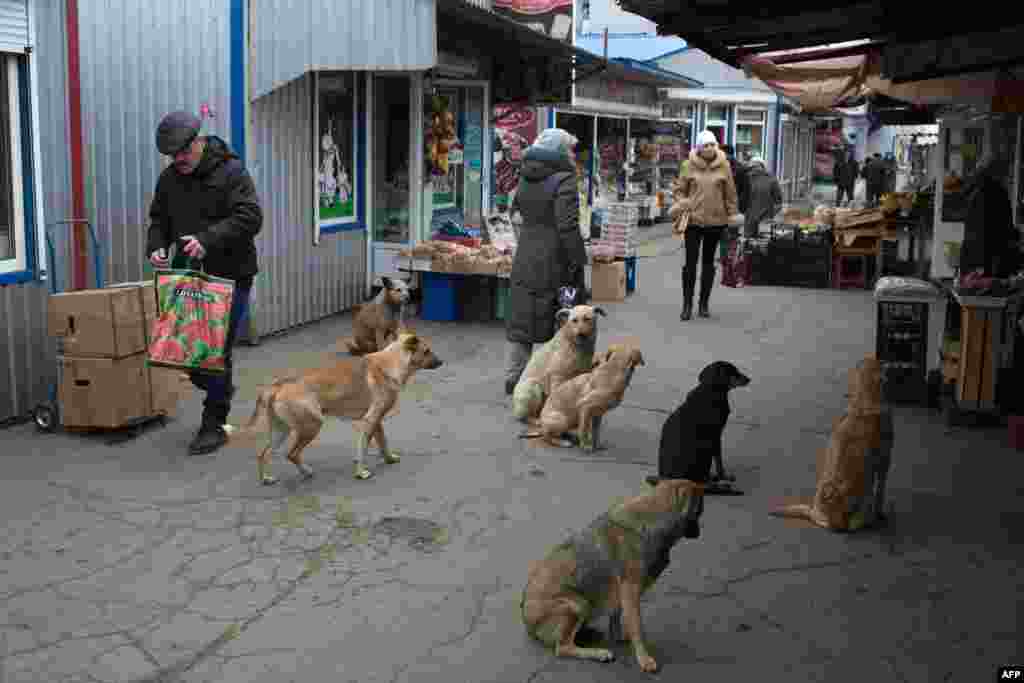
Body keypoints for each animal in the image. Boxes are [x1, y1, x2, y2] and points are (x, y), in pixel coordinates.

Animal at [226, 329, 442, 481]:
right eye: (427, 351)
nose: (441, 362)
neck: (391, 363)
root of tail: (278, 385)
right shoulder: (370, 420)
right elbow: (364, 448)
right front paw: (361, 472)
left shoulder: (377, 421)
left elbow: (382, 442)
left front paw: (388, 459)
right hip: (312, 426)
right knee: (291, 454)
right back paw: (306, 473)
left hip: (282, 430)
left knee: (264, 454)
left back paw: (267, 478)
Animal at [524, 479, 708, 675]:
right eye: (699, 511)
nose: (699, 532)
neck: (653, 518)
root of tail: (528, 625)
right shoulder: (630, 589)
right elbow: (637, 627)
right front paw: (644, 659)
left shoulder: (620, 592)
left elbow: (617, 617)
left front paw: (618, 636)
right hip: (577, 604)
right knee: (563, 647)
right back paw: (599, 653)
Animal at [647, 360, 753, 540]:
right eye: (733, 372)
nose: (748, 379)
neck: (709, 390)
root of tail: (668, 481)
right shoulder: (716, 436)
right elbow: (720, 461)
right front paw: (723, 476)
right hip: (704, 450)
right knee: (703, 482)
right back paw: (717, 483)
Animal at [770, 356, 888, 532]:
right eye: (880, 364)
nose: (886, 363)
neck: (863, 399)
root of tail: (834, 521)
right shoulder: (884, 463)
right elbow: (880, 493)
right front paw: (880, 514)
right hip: (866, 495)